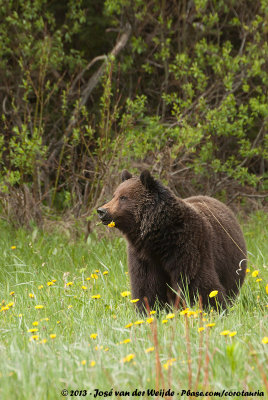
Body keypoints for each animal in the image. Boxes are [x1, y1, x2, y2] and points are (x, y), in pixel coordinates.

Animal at [97, 170, 246, 310]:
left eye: (123, 197)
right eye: (114, 195)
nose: (101, 211)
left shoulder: (188, 246)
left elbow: (197, 281)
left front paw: (213, 306)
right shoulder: (143, 256)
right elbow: (146, 286)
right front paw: (147, 309)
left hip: (230, 261)